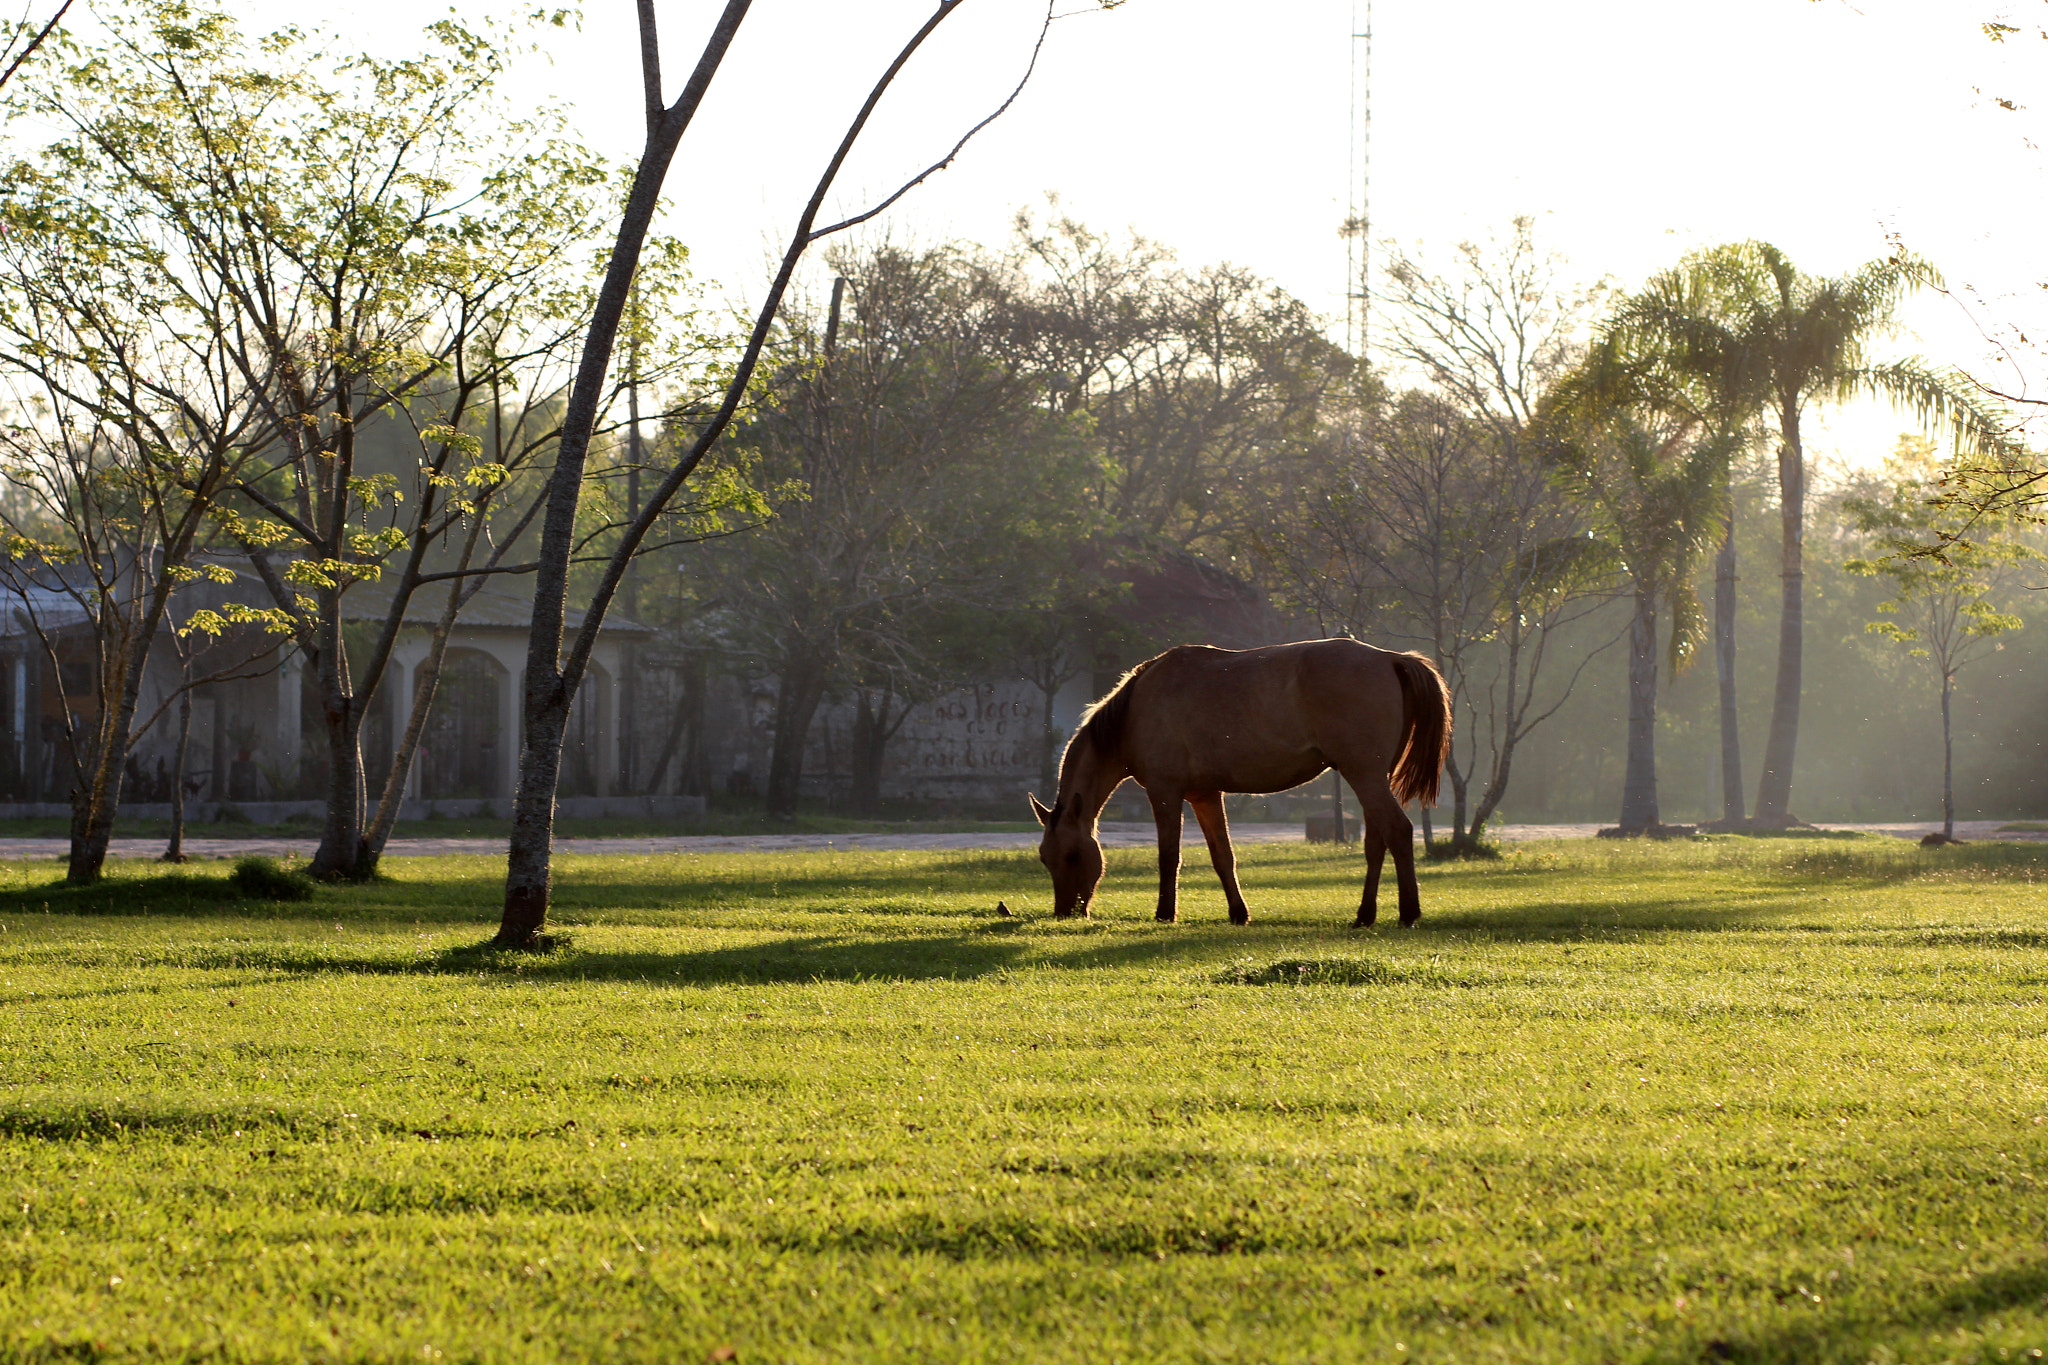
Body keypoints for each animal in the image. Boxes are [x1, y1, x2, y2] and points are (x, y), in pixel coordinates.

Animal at [1032, 642, 1449, 929]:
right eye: (1044, 858)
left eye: (1072, 855)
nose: (1066, 912)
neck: (1136, 708)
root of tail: (1389, 658)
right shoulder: (1204, 795)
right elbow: (1223, 856)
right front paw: (1238, 912)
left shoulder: (1165, 792)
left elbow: (1169, 856)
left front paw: (1165, 913)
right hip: (1371, 778)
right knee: (1376, 842)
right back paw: (1365, 914)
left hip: (1363, 774)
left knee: (1398, 831)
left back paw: (1408, 913)